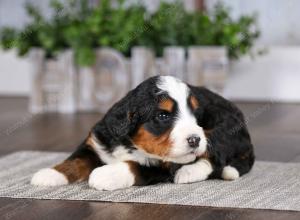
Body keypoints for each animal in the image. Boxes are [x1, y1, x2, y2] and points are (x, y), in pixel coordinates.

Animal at [31, 75, 254, 191]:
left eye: (196, 115)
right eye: (163, 116)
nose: (194, 139)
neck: (132, 143)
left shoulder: (161, 165)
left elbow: (133, 166)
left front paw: (105, 174)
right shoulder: (96, 142)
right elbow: (75, 160)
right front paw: (50, 174)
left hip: (221, 130)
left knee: (215, 159)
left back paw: (188, 172)